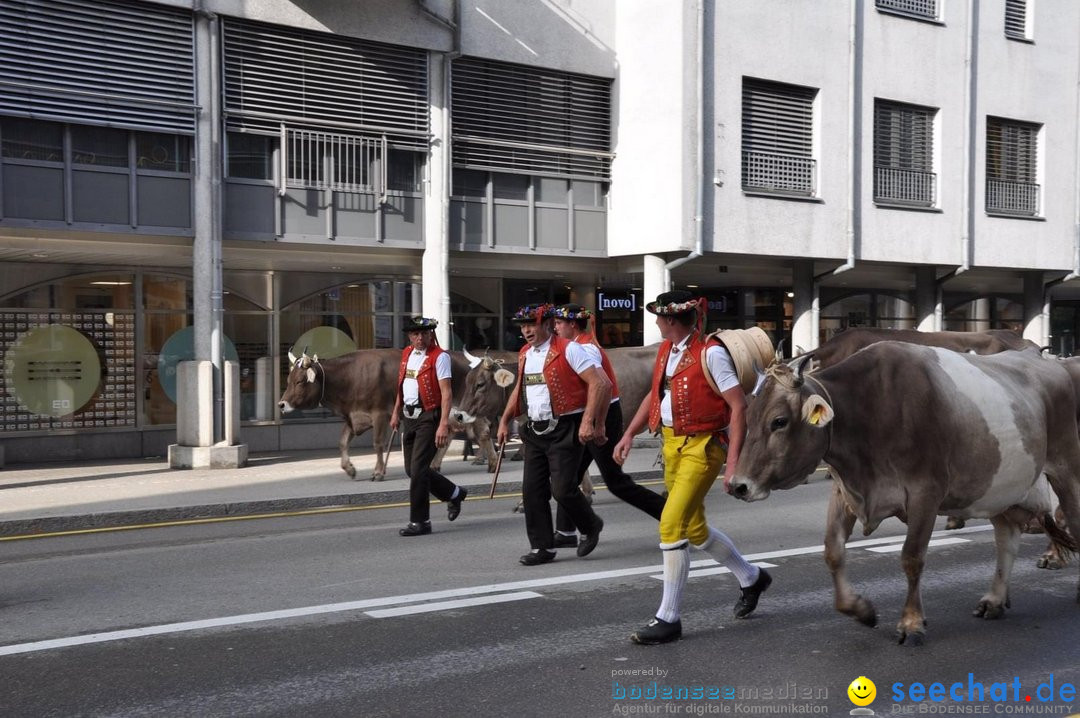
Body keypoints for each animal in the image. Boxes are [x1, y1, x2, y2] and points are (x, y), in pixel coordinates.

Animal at [725, 343, 1080, 643]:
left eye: (779, 421)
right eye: (748, 416)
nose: (738, 485)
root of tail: (1050, 362)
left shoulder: (926, 492)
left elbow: (911, 558)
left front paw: (911, 622)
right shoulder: (845, 492)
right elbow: (833, 552)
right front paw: (861, 610)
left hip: (1066, 470)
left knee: (1071, 520)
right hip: (1001, 486)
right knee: (1007, 537)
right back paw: (993, 599)